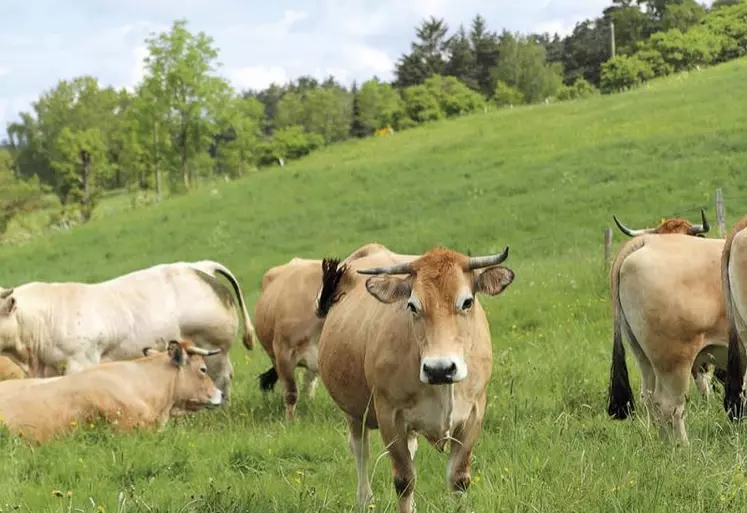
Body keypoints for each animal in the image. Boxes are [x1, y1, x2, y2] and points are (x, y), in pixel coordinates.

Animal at [608, 231, 732, 440]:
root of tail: (646, 240)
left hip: (644, 355)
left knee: (650, 399)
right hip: (675, 358)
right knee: (670, 405)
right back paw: (683, 446)